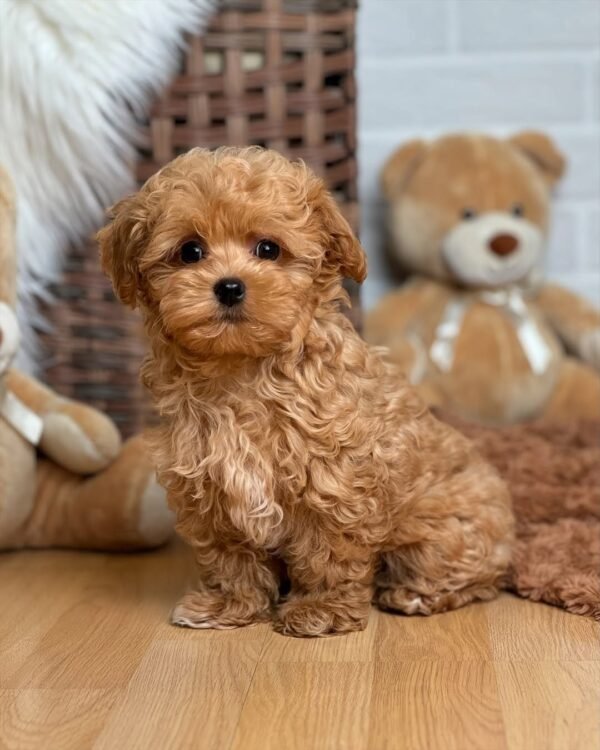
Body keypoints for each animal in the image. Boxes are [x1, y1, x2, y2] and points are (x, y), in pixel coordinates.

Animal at [97, 148, 510, 640]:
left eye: (268, 249)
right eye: (190, 251)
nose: (230, 286)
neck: (242, 370)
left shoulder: (334, 481)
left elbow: (328, 553)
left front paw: (321, 611)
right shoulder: (211, 483)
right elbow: (229, 557)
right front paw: (228, 606)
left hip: (442, 530)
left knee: (471, 576)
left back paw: (414, 594)